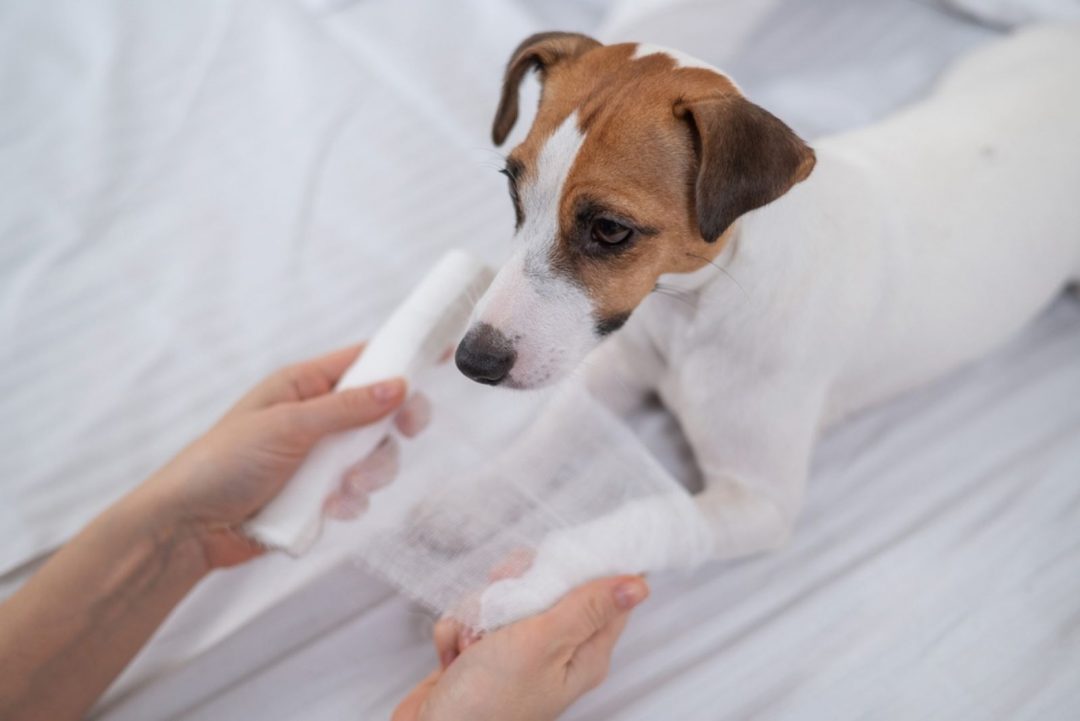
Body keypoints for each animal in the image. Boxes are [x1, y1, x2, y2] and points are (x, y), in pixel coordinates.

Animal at [449, 25, 1080, 621]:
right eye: (513, 188)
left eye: (609, 229)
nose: (472, 361)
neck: (695, 309)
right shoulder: (613, 375)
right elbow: (546, 437)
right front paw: (467, 500)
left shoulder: (758, 503)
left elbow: (648, 516)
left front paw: (532, 583)